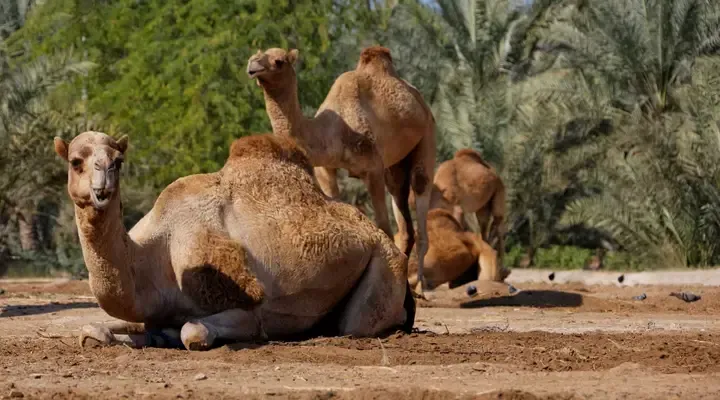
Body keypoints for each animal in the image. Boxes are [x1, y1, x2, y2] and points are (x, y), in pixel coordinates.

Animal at [53, 131, 415, 351]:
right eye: (76, 161)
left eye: (118, 161)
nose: (102, 186)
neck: (154, 256)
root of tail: (376, 232)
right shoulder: (151, 312)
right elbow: (94, 330)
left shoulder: (248, 309)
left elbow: (193, 331)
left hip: (385, 262)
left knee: (358, 323)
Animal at [247, 46, 436, 293]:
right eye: (256, 54)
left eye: (279, 61)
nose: (252, 65)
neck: (332, 131)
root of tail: (418, 99)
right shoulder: (326, 169)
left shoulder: (373, 167)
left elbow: (384, 229)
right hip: (395, 164)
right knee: (402, 212)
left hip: (427, 135)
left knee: (421, 195)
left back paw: (421, 288)